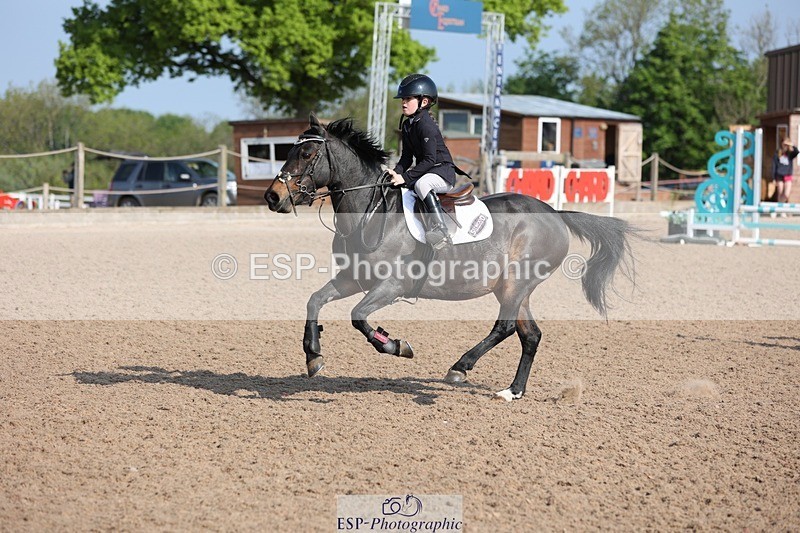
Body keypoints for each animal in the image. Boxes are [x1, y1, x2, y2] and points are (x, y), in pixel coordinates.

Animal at [264, 115, 636, 401]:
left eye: (307, 153)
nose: (272, 196)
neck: (370, 212)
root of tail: (554, 213)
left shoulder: (391, 286)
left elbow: (358, 317)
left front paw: (396, 345)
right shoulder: (352, 278)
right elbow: (315, 301)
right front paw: (313, 356)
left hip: (517, 283)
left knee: (504, 327)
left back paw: (460, 368)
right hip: (515, 288)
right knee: (530, 335)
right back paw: (512, 391)